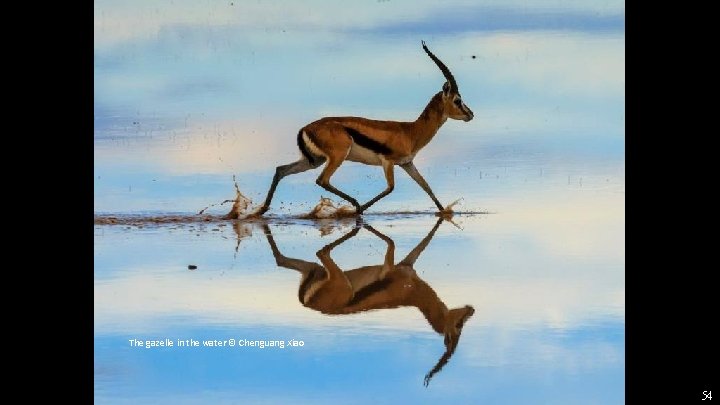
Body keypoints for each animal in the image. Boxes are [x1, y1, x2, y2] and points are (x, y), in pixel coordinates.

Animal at [254, 41, 474, 216]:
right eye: (457, 100)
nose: (470, 115)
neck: (410, 131)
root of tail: (304, 129)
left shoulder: (407, 164)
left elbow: (426, 187)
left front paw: (445, 211)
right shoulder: (388, 162)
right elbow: (390, 188)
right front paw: (359, 210)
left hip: (314, 160)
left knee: (281, 170)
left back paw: (262, 210)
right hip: (336, 157)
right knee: (322, 180)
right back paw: (355, 206)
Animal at [261, 217, 475, 386]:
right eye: (458, 325)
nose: (471, 309)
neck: (413, 292)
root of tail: (307, 302)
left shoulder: (408, 264)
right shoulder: (391, 266)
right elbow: (391, 241)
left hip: (314, 269)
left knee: (284, 259)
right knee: (321, 251)